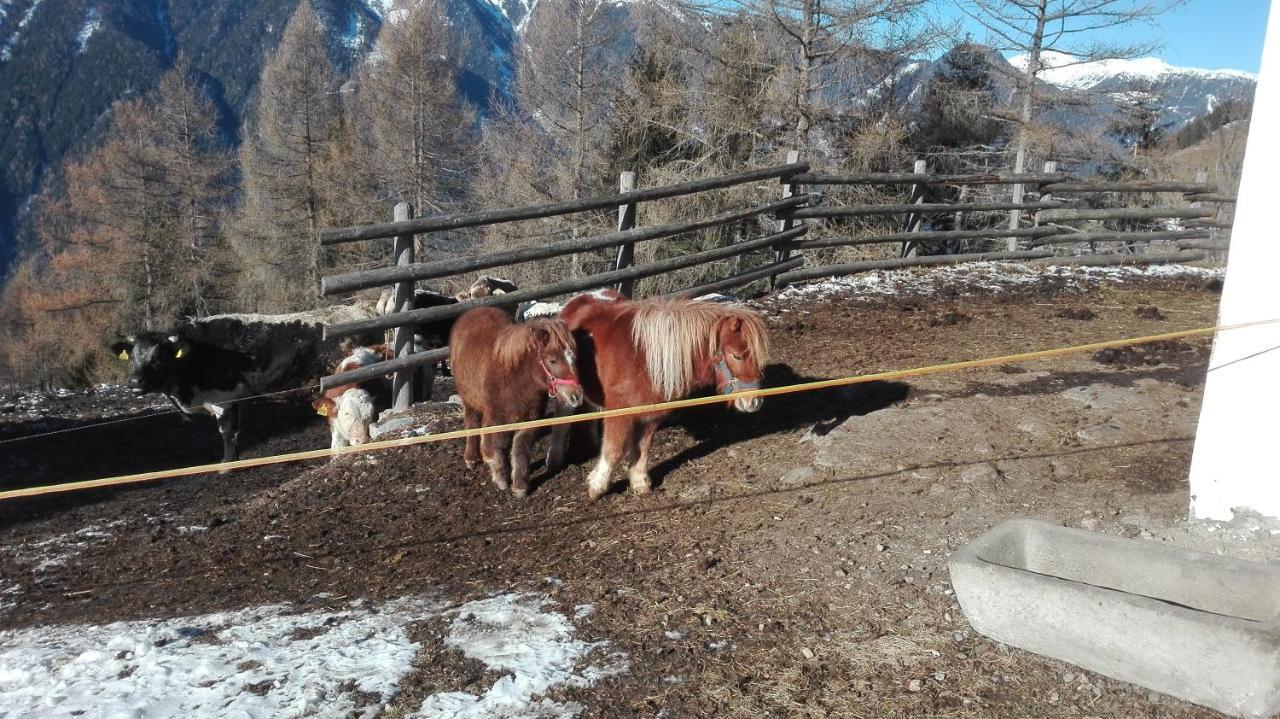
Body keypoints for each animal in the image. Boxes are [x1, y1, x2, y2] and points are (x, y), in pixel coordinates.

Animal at [450, 304, 586, 496]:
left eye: (573, 357)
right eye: (552, 360)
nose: (576, 395)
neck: (515, 379)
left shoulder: (530, 420)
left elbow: (520, 448)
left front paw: (520, 486)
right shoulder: (496, 419)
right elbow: (495, 447)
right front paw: (501, 479)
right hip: (469, 400)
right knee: (472, 423)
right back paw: (471, 458)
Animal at [550, 291, 768, 498]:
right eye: (737, 356)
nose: (753, 402)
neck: (644, 359)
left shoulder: (650, 414)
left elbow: (643, 448)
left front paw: (639, 483)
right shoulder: (620, 413)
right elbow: (614, 450)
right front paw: (597, 486)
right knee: (563, 416)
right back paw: (555, 457)